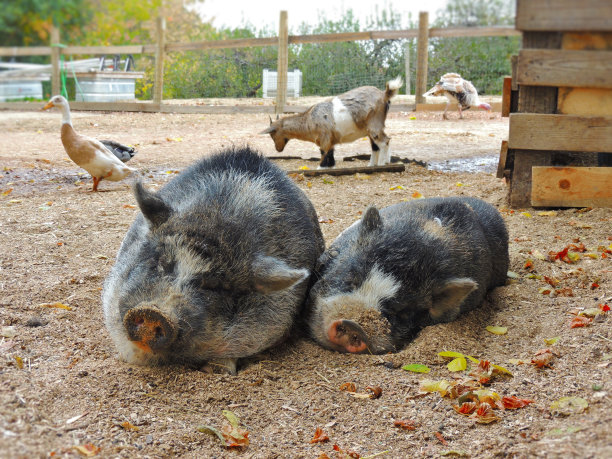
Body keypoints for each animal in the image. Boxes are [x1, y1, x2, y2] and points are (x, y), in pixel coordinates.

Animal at [260, 77, 404, 169]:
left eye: (272, 135)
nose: (278, 149)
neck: (308, 119)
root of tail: (384, 94)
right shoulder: (331, 139)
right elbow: (330, 153)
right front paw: (330, 167)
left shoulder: (324, 137)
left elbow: (324, 153)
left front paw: (320, 168)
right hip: (369, 129)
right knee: (375, 145)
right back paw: (371, 165)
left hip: (374, 125)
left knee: (384, 141)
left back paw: (382, 164)